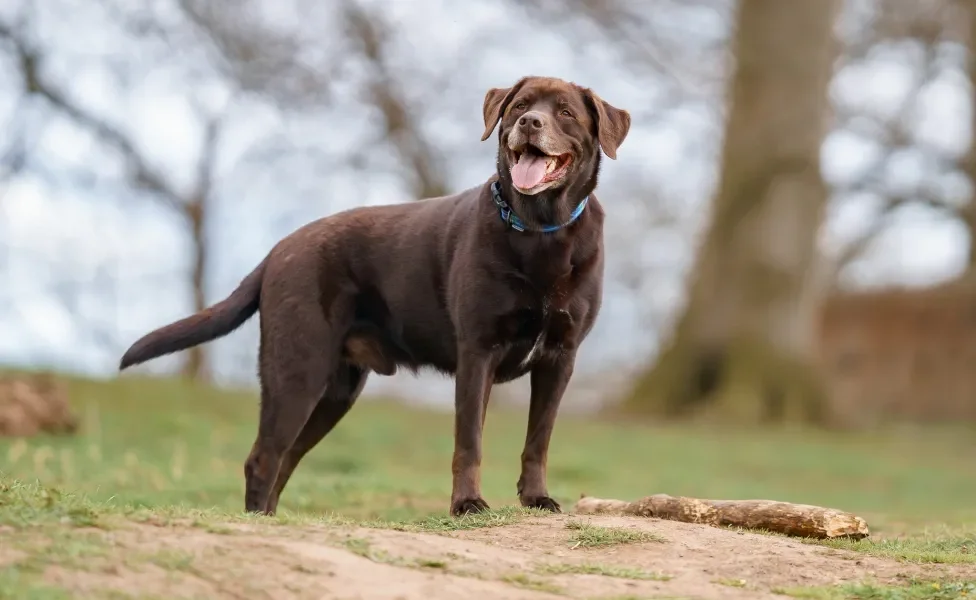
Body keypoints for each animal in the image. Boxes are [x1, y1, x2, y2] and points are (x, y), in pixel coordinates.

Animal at [118, 75, 632, 516]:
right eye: (520, 107)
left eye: (564, 112)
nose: (530, 124)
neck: (540, 231)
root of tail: (278, 250)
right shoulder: (478, 352)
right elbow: (470, 441)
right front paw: (467, 504)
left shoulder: (559, 357)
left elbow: (538, 440)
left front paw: (536, 498)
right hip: (297, 370)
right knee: (264, 458)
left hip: (335, 390)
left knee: (285, 458)